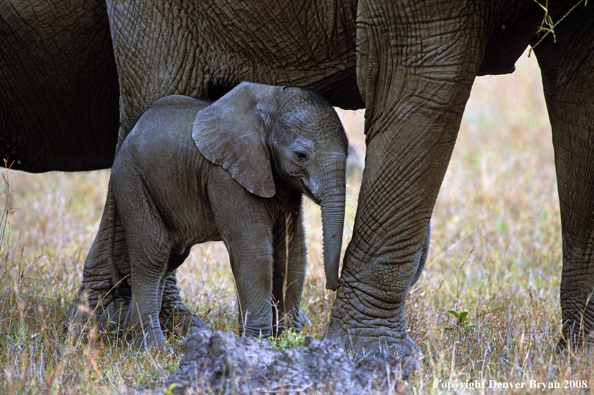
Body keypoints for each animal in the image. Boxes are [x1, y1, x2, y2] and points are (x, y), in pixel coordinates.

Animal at [108, 81, 346, 350]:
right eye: (301, 155)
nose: (333, 285)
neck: (269, 102)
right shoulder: (225, 176)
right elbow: (253, 249)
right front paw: (258, 344)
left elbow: (291, 250)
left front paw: (288, 340)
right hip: (132, 182)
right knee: (153, 256)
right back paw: (153, 349)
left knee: (171, 259)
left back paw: (128, 340)